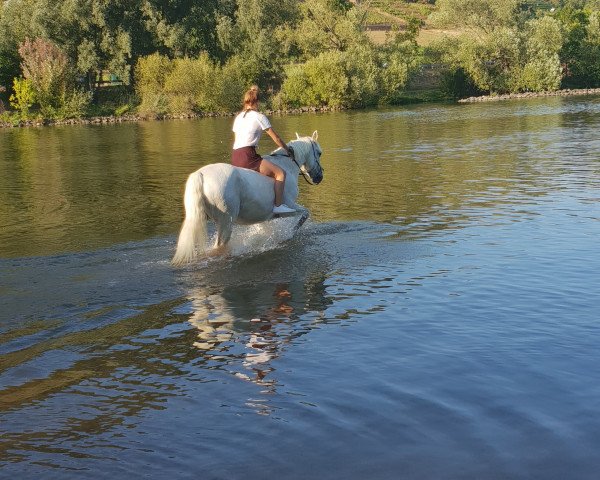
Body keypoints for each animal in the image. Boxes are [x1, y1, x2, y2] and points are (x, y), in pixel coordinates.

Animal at [173, 131, 324, 266]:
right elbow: (305, 214)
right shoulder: (290, 206)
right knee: (219, 247)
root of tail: (201, 174)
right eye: (319, 152)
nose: (319, 178)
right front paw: (290, 234)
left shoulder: (264, 217)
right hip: (226, 221)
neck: (287, 166)